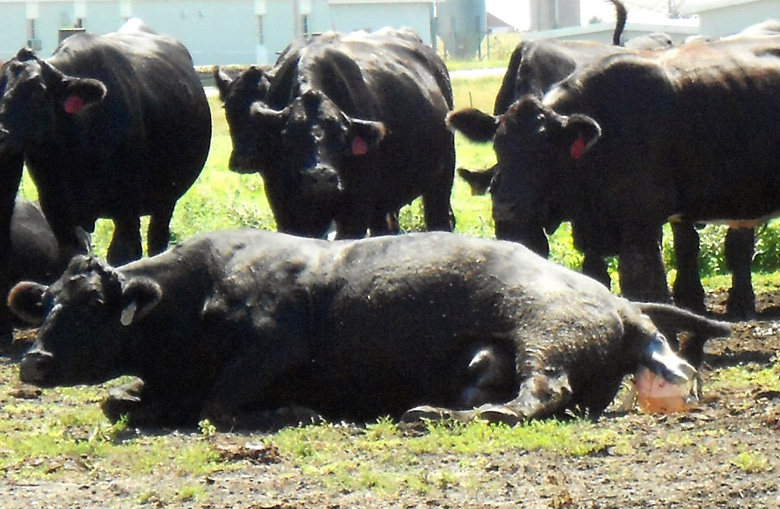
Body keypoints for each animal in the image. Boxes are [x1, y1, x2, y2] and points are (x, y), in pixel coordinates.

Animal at [0, 18, 212, 266]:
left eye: (37, 91)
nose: (1, 133)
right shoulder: (56, 210)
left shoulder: (126, 209)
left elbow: (124, 255)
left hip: (166, 200)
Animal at [7, 230, 732, 428]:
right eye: (47, 306)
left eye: (89, 307)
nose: (34, 361)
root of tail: (621, 305)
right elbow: (118, 400)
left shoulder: (275, 337)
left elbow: (220, 403)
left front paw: (292, 409)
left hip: (543, 330)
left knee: (539, 396)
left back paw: (443, 413)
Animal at [213, 28, 458, 239]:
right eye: (289, 136)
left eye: (341, 135)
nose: (321, 177)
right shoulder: (282, 205)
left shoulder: (357, 206)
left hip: (441, 181)